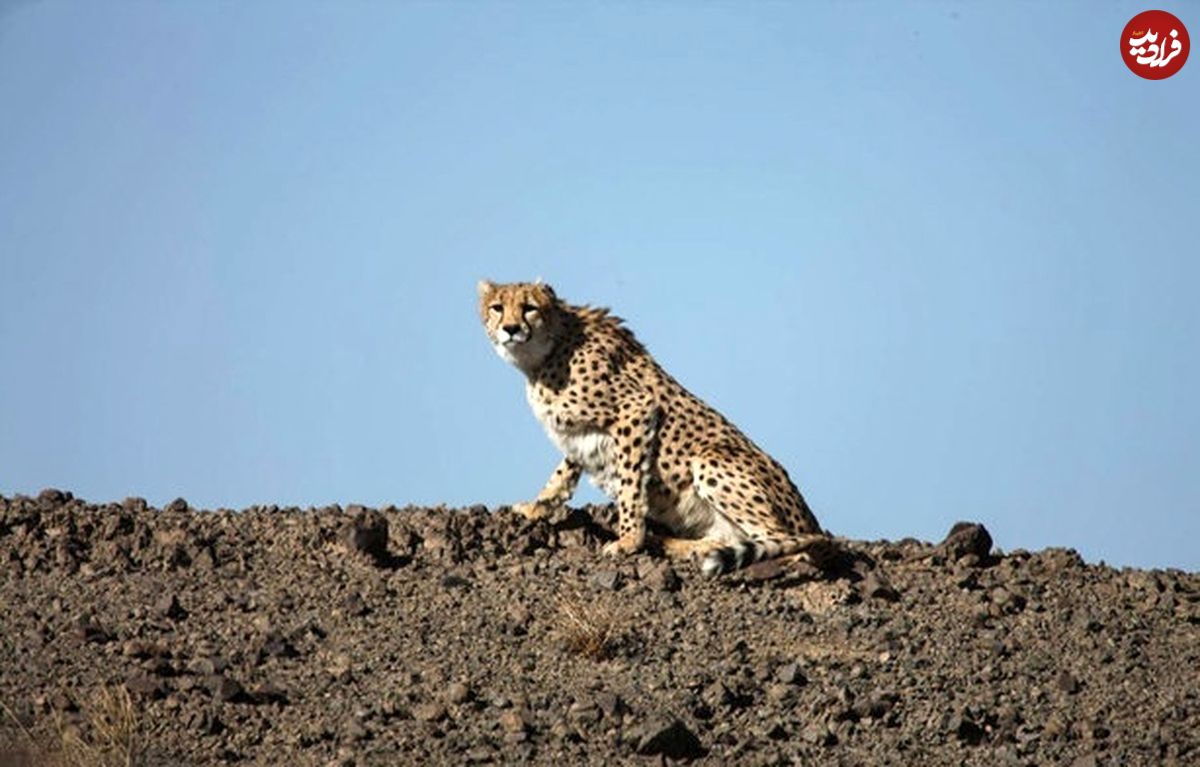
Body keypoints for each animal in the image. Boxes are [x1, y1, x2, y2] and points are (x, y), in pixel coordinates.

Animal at [477, 277, 835, 576]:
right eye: (497, 307)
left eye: (529, 307)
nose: (511, 328)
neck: (547, 350)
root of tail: (813, 524)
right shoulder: (579, 435)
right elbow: (562, 474)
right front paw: (534, 507)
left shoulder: (635, 409)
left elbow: (630, 483)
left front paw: (629, 540)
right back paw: (677, 545)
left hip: (711, 459)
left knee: (790, 547)